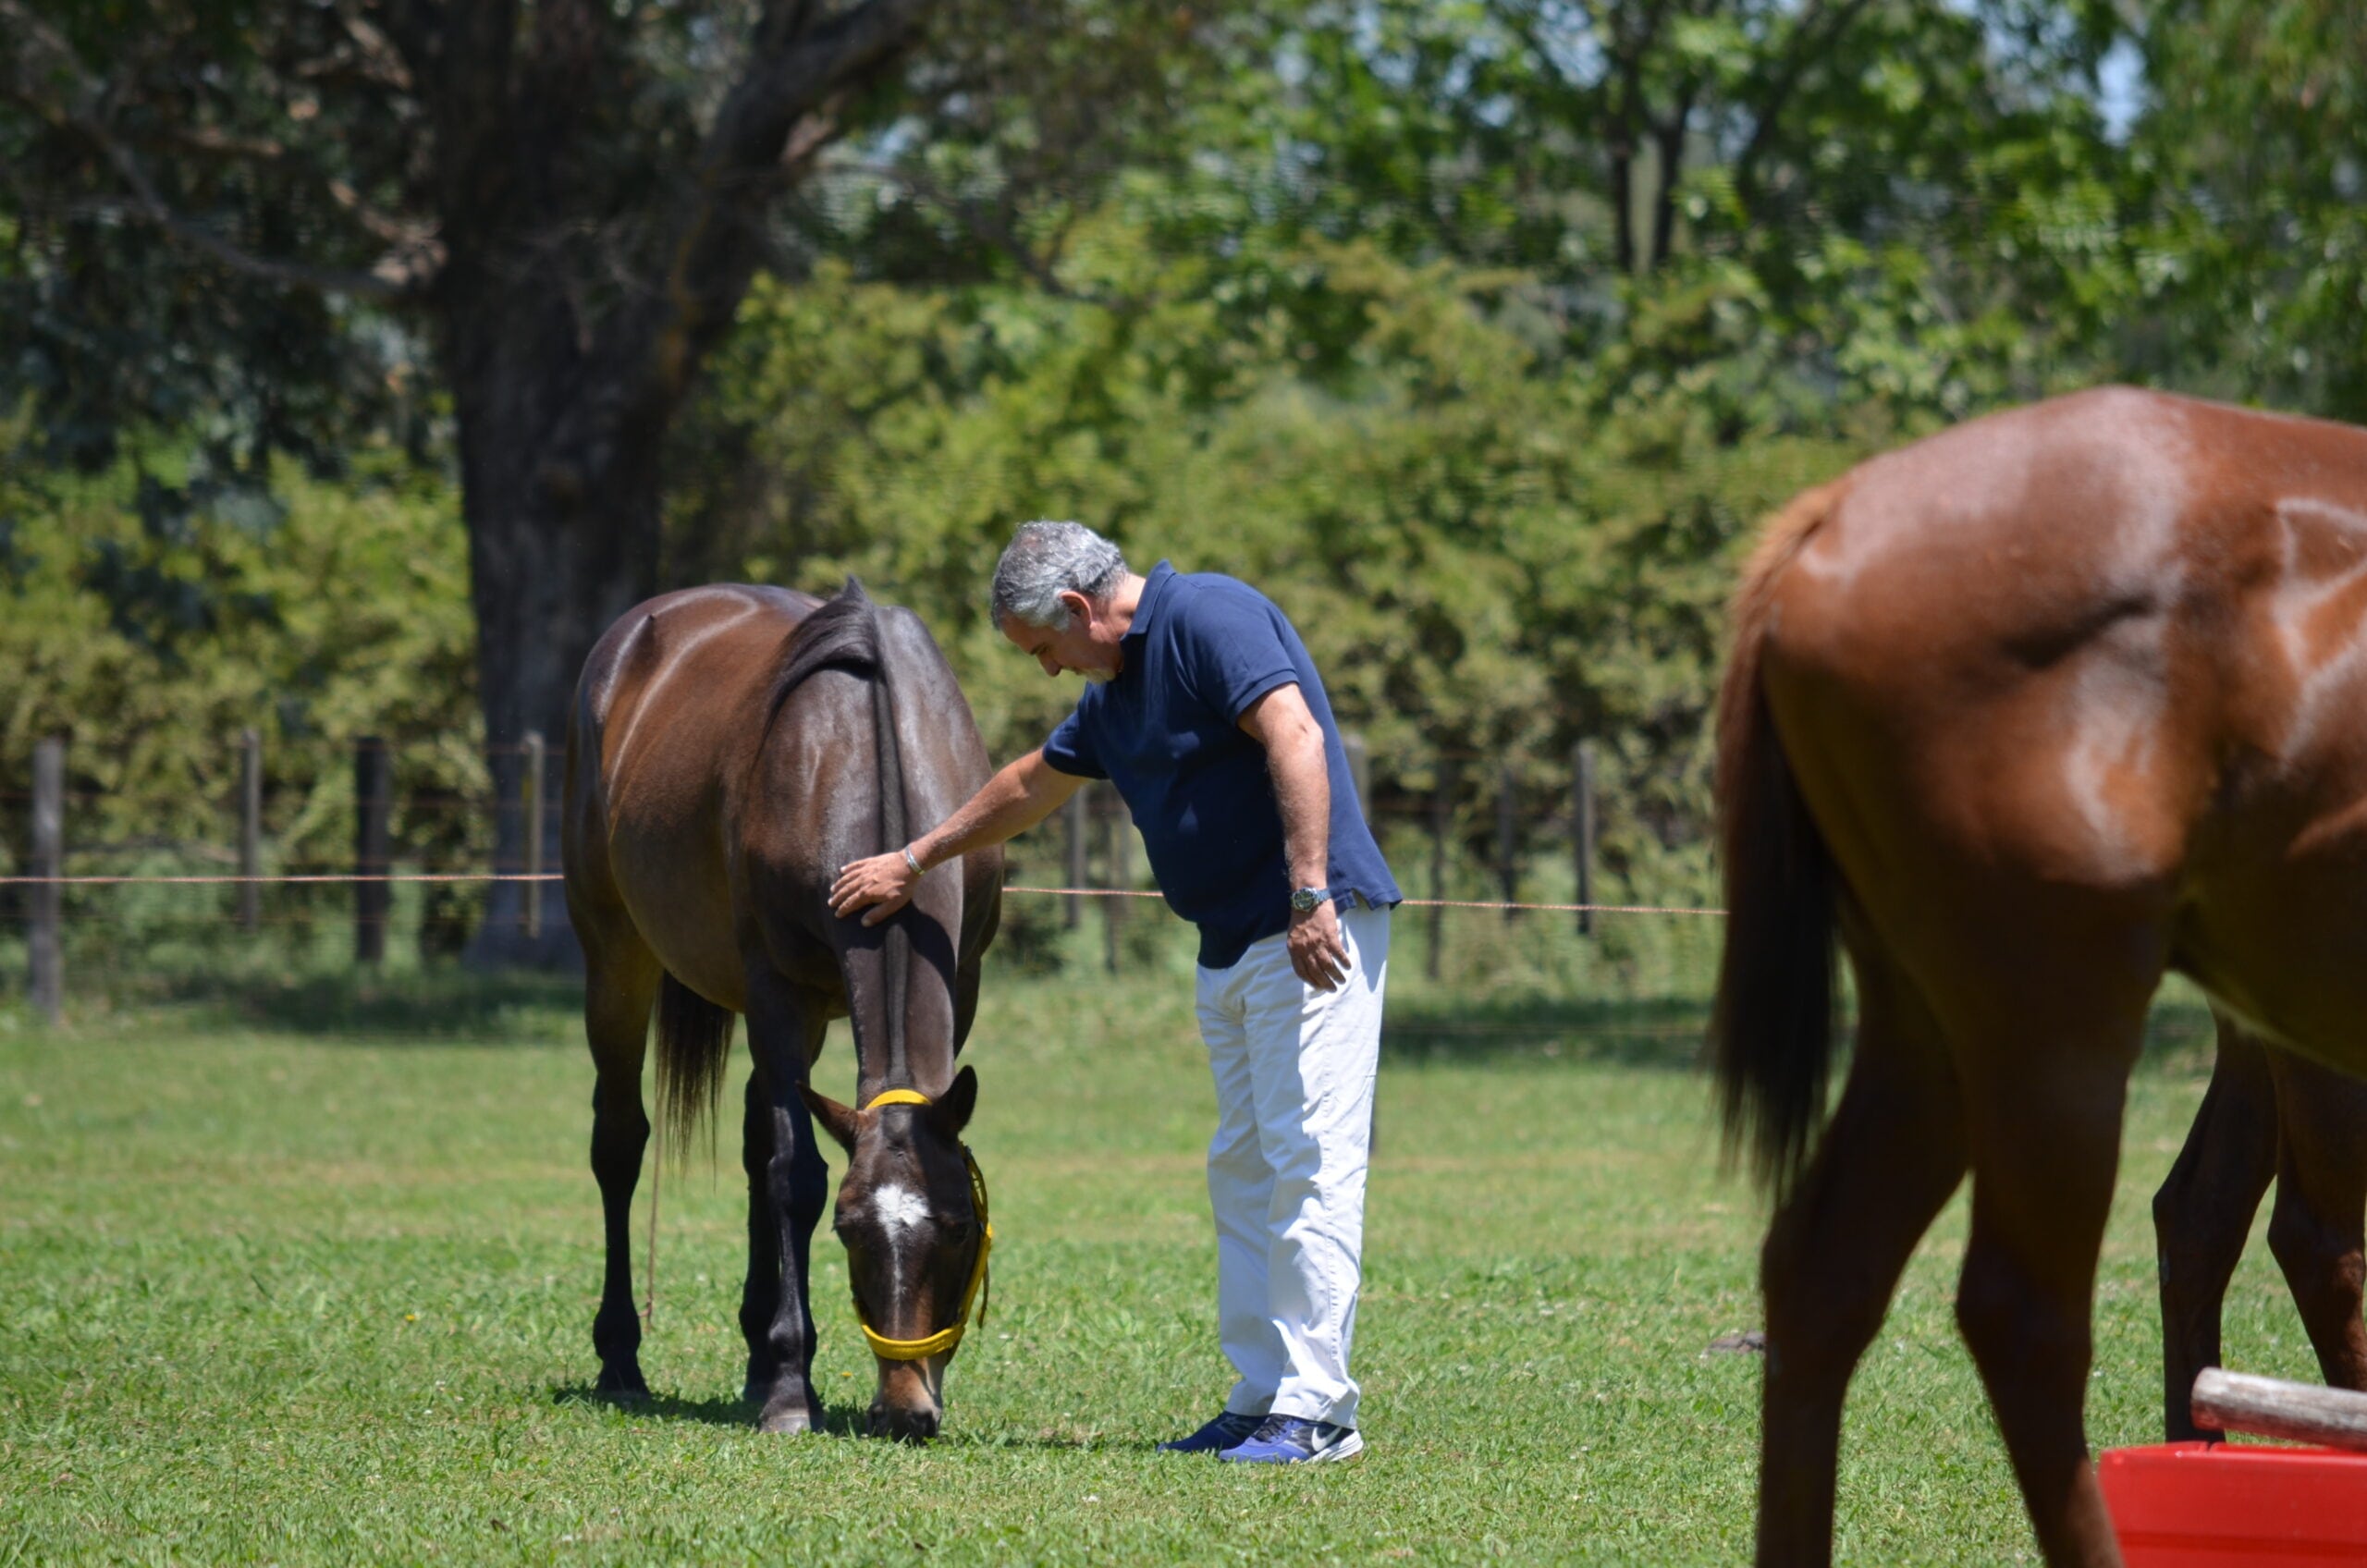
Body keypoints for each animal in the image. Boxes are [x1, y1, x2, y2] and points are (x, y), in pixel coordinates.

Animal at [560, 578, 999, 1439]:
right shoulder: (776, 992)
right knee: (619, 1144)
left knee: (753, 1139)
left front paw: (780, 1368)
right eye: (849, 1230)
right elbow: (795, 1177)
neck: (865, 750)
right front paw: (795, 1391)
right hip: (615, 959)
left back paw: (757, 1360)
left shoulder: (961, 980)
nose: (904, 1411)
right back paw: (622, 1360)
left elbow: (776, 1163)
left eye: (959, 1227)